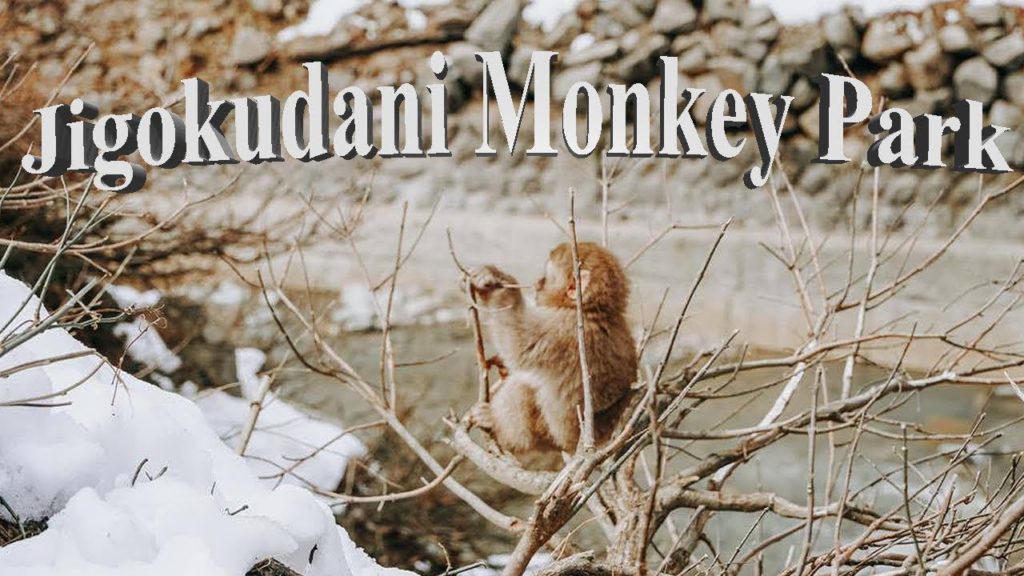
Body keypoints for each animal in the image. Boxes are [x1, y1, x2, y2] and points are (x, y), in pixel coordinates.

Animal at [467, 241, 637, 456]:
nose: (537, 282)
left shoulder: (563, 329)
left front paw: (497, 288)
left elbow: (519, 343)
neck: (593, 311)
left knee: (526, 386)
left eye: (547, 277)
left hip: (558, 434)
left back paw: (498, 425)